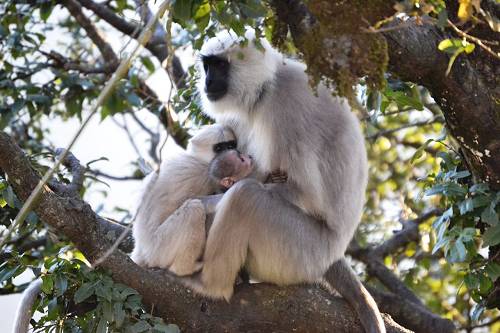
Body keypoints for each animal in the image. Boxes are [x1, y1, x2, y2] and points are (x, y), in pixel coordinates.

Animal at [186, 30, 384, 332]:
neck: (267, 87)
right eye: (207, 66)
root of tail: (333, 252)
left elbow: (304, 193)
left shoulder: (287, 103)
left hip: (300, 252)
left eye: (220, 66)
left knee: (246, 197)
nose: (207, 81)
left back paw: (210, 287)